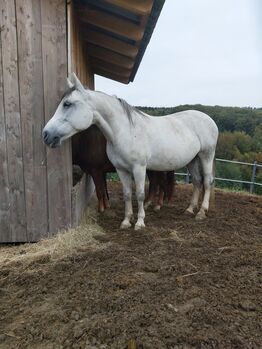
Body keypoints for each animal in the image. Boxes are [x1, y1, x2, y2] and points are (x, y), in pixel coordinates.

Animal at [43, 74, 219, 228]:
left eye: (67, 104)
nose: (46, 134)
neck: (125, 131)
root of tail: (209, 119)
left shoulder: (138, 168)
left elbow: (139, 194)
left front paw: (140, 222)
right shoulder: (121, 170)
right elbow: (127, 194)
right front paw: (126, 221)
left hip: (206, 155)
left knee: (207, 181)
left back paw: (201, 212)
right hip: (193, 159)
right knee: (197, 181)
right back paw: (189, 209)